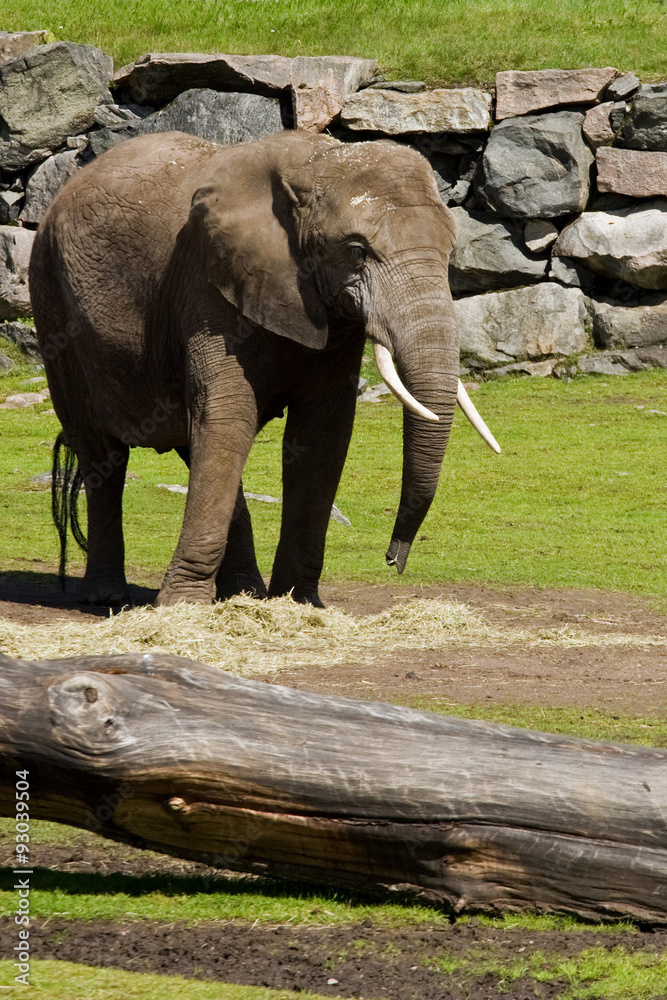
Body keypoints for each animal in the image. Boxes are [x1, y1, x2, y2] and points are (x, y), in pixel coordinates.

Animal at [29, 129, 499, 608]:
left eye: (450, 250)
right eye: (356, 251)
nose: (392, 559)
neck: (316, 161)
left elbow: (322, 434)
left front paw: (300, 603)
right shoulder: (208, 284)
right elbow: (229, 413)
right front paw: (181, 606)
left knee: (193, 443)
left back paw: (243, 593)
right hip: (52, 303)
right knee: (104, 453)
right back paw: (106, 597)